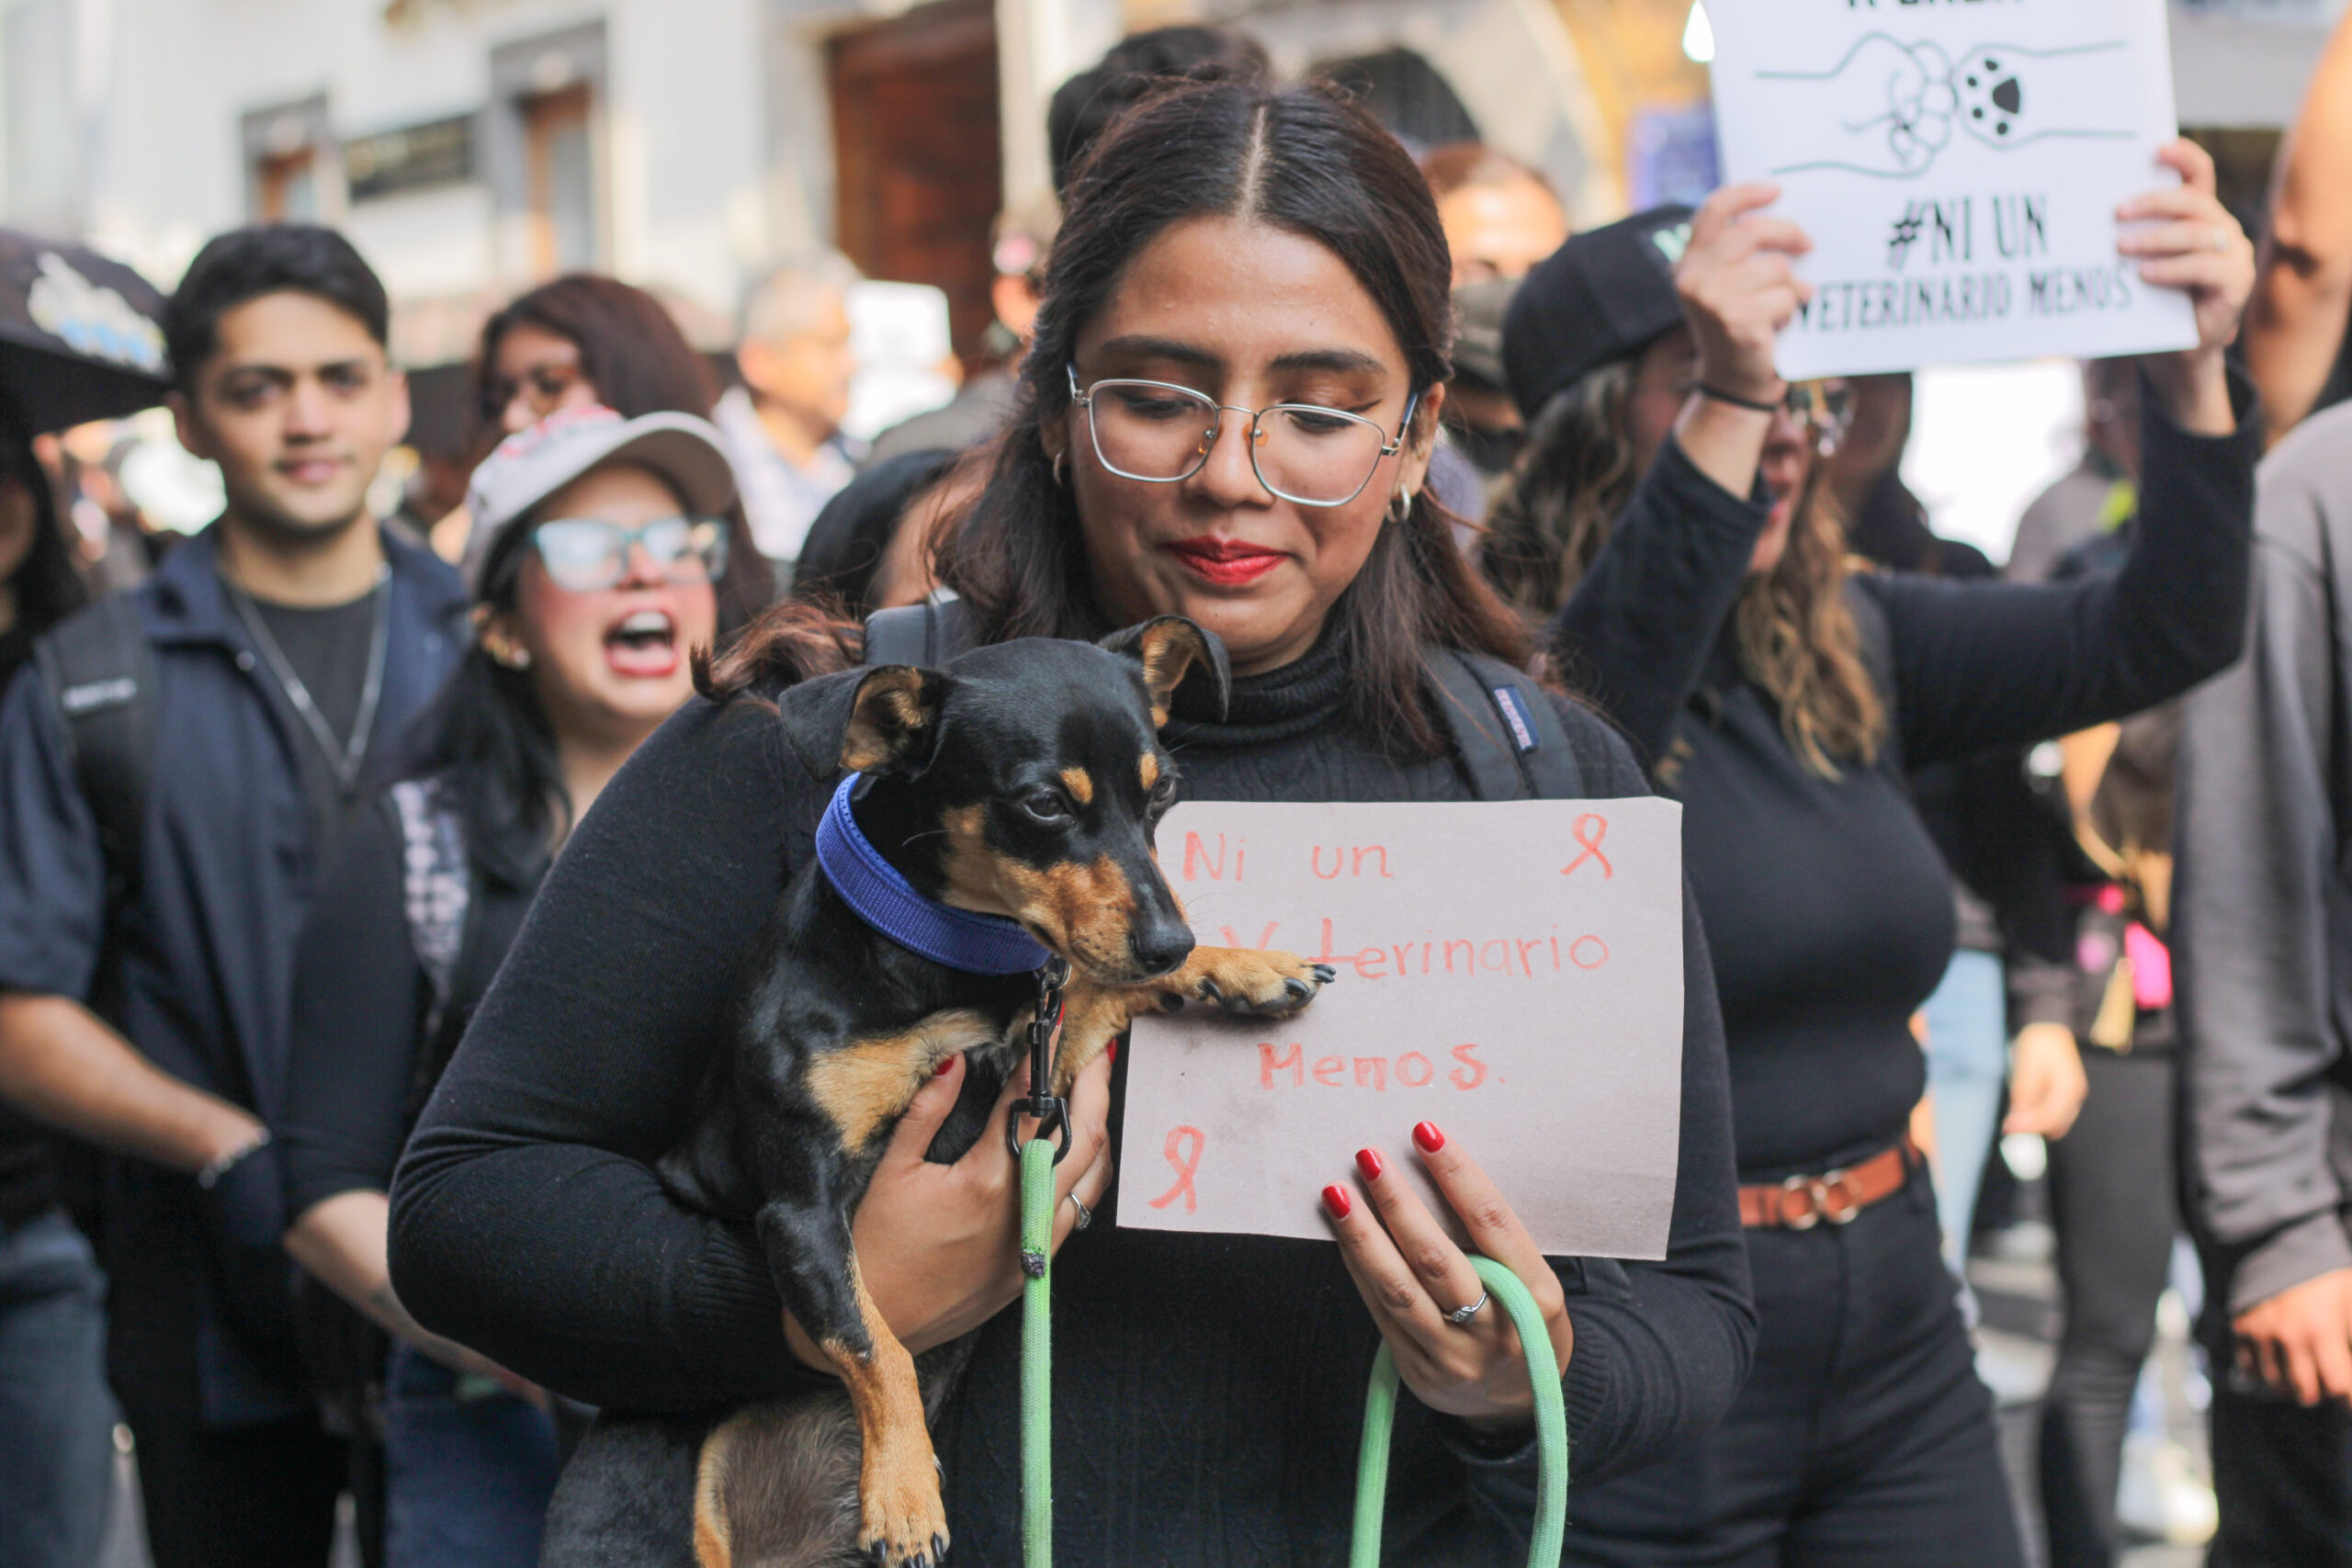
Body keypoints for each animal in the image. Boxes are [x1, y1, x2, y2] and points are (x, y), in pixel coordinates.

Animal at [653, 620, 1336, 1561]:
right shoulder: (798, 1211)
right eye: (1045, 804)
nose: (1170, 937)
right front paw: (903, 1494)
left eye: (1163, 793)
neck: (950, 955)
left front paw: (1241, 965)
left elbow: (1101, 983)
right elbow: (872, 1340)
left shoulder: (1050, 1050)